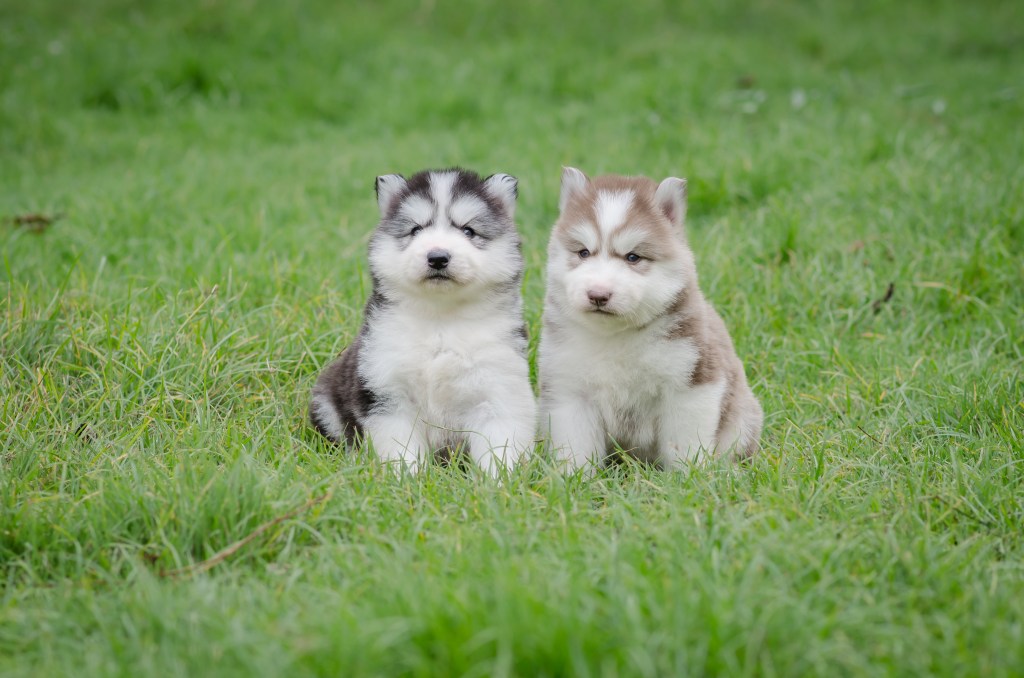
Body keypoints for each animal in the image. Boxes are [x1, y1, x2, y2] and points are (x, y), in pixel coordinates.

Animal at [309, 166, 536, 475]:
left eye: (468, 230)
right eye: (416, 229)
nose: (438, 257)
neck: (440, 319)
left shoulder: (498, 391)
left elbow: (498, 448)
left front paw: (498, 481)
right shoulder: (388, 393)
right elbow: (401, 450)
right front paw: (405, 479)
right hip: (326, 401)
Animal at [536, 166, 761, 473]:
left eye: (633, 257)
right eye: (583, 252)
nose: (598, 295)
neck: (615, 337)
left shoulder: (691, 385)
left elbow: (683, 444)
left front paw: (687, 478)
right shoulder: (569, 390)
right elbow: (575, 446)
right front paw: (574, 477)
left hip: (742, 418)